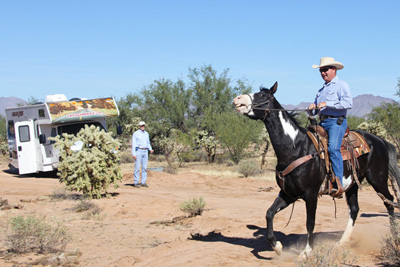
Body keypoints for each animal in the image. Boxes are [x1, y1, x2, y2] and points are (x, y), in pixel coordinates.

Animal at [233, 82, 398, 258]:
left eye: (263, 96)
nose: (238, 99)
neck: (296, 147)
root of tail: (380, 140)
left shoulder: (310, 194)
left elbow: (310, 222)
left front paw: (306, 251)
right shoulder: (288, 193)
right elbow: (269, 213)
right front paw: (277, 246)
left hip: (377, 179)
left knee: (389, 202)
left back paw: (393, 236)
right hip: (353, 184)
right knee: (354, 209)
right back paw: (341, 243)